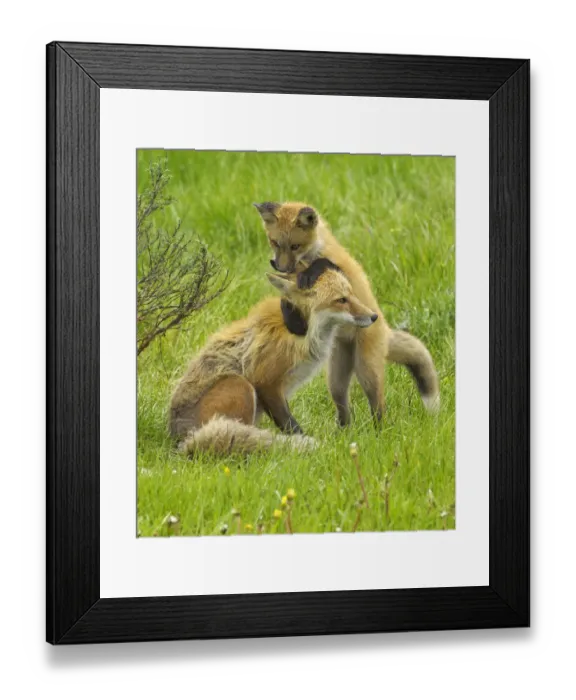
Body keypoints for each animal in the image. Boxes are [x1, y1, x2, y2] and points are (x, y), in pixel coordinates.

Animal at [169, 258, 378, 455]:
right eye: (341, 300)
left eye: (352, 294)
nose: (374, 316)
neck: (303, 332)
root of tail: (181, 439)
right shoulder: (266, 383)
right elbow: (291, 426)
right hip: (241, 386)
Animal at [254, 201, 440, 425]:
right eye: (275, 243)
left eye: (294, 246)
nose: (281, 267)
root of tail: (384, 329)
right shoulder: (293, 289)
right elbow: (288, 301)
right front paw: (294, 322)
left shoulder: (338, 271)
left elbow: (323, 268)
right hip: (336, 378)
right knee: (343, 408)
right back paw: (343, 430)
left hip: (367, 371)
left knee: (378, 405)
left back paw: (379, 430)